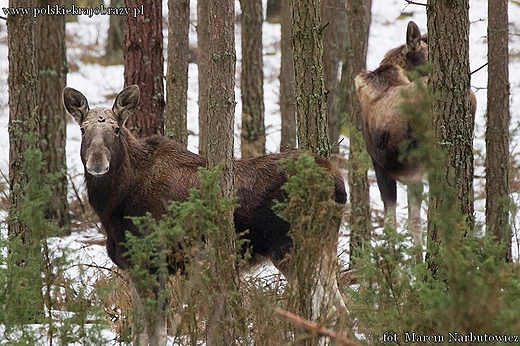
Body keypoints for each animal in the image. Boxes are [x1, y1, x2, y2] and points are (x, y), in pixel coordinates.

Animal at [64, 85, 346, 344]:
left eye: (116, 129)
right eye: (82, 130)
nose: (97, 162)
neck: (113, 206)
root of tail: (338, 183)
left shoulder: (154, 263)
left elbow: (156, 333)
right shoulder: (134, 267)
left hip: (297, 250)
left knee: (328, 311)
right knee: (337, 308)